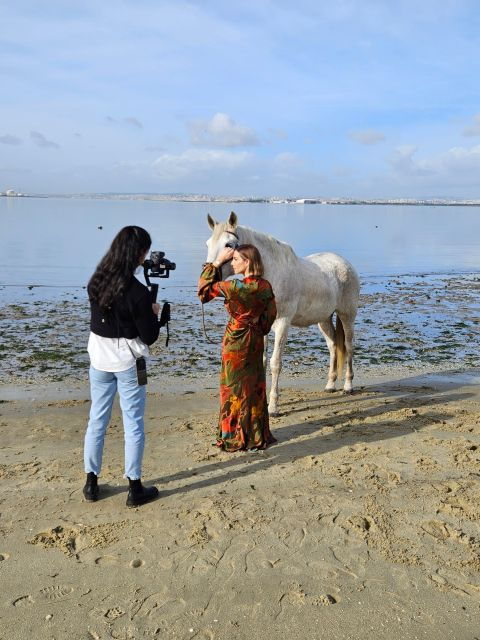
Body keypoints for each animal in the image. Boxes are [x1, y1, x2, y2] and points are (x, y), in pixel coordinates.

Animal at [205, 211, 360, 415]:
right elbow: (262, 360)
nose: (210, 274)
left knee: (348, 346)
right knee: (333, 345)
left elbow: (275, 363)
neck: (273, 274)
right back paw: (330, 384)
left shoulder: (282, 324)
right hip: (324, 319)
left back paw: (348, 385)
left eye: (228, 244)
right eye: (208, 243)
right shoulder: (261, 324)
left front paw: (273, 407)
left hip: (347, 315)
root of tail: (344, 263)